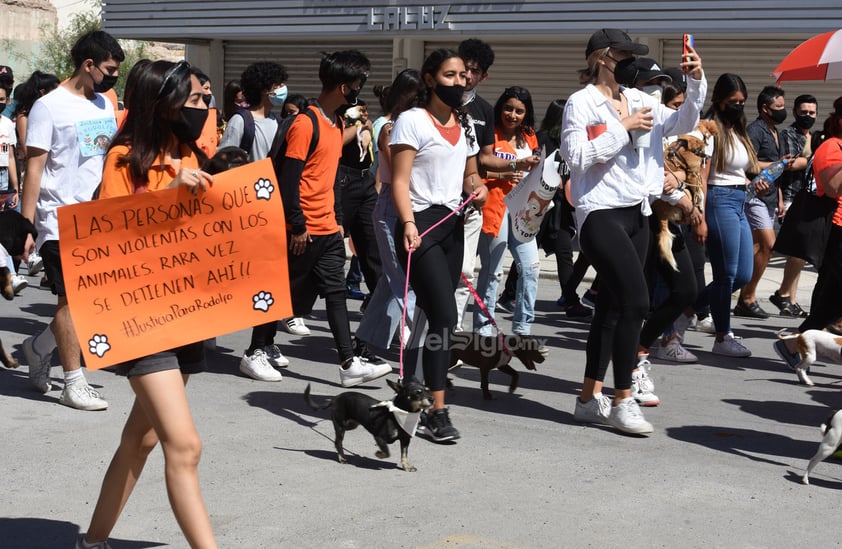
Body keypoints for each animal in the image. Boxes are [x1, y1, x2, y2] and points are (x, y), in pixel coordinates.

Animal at [304, 376, 434, 470]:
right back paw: (342, 458)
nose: (432, 399)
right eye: (418, 392)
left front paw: (406, 466)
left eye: (428, 390)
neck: (400, 413)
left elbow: (404, 454)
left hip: (351, 425)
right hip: (340, 426)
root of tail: (335, 398)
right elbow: (387, 452)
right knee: (338, 442)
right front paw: (379, 453)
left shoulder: (405, 440)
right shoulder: (379, 436)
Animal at [648, 119, 716, 270]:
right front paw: (700, 204)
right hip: (684, 193)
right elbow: (699, 192)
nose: (709, 156)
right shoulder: (693, 174)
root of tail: (661, 214)